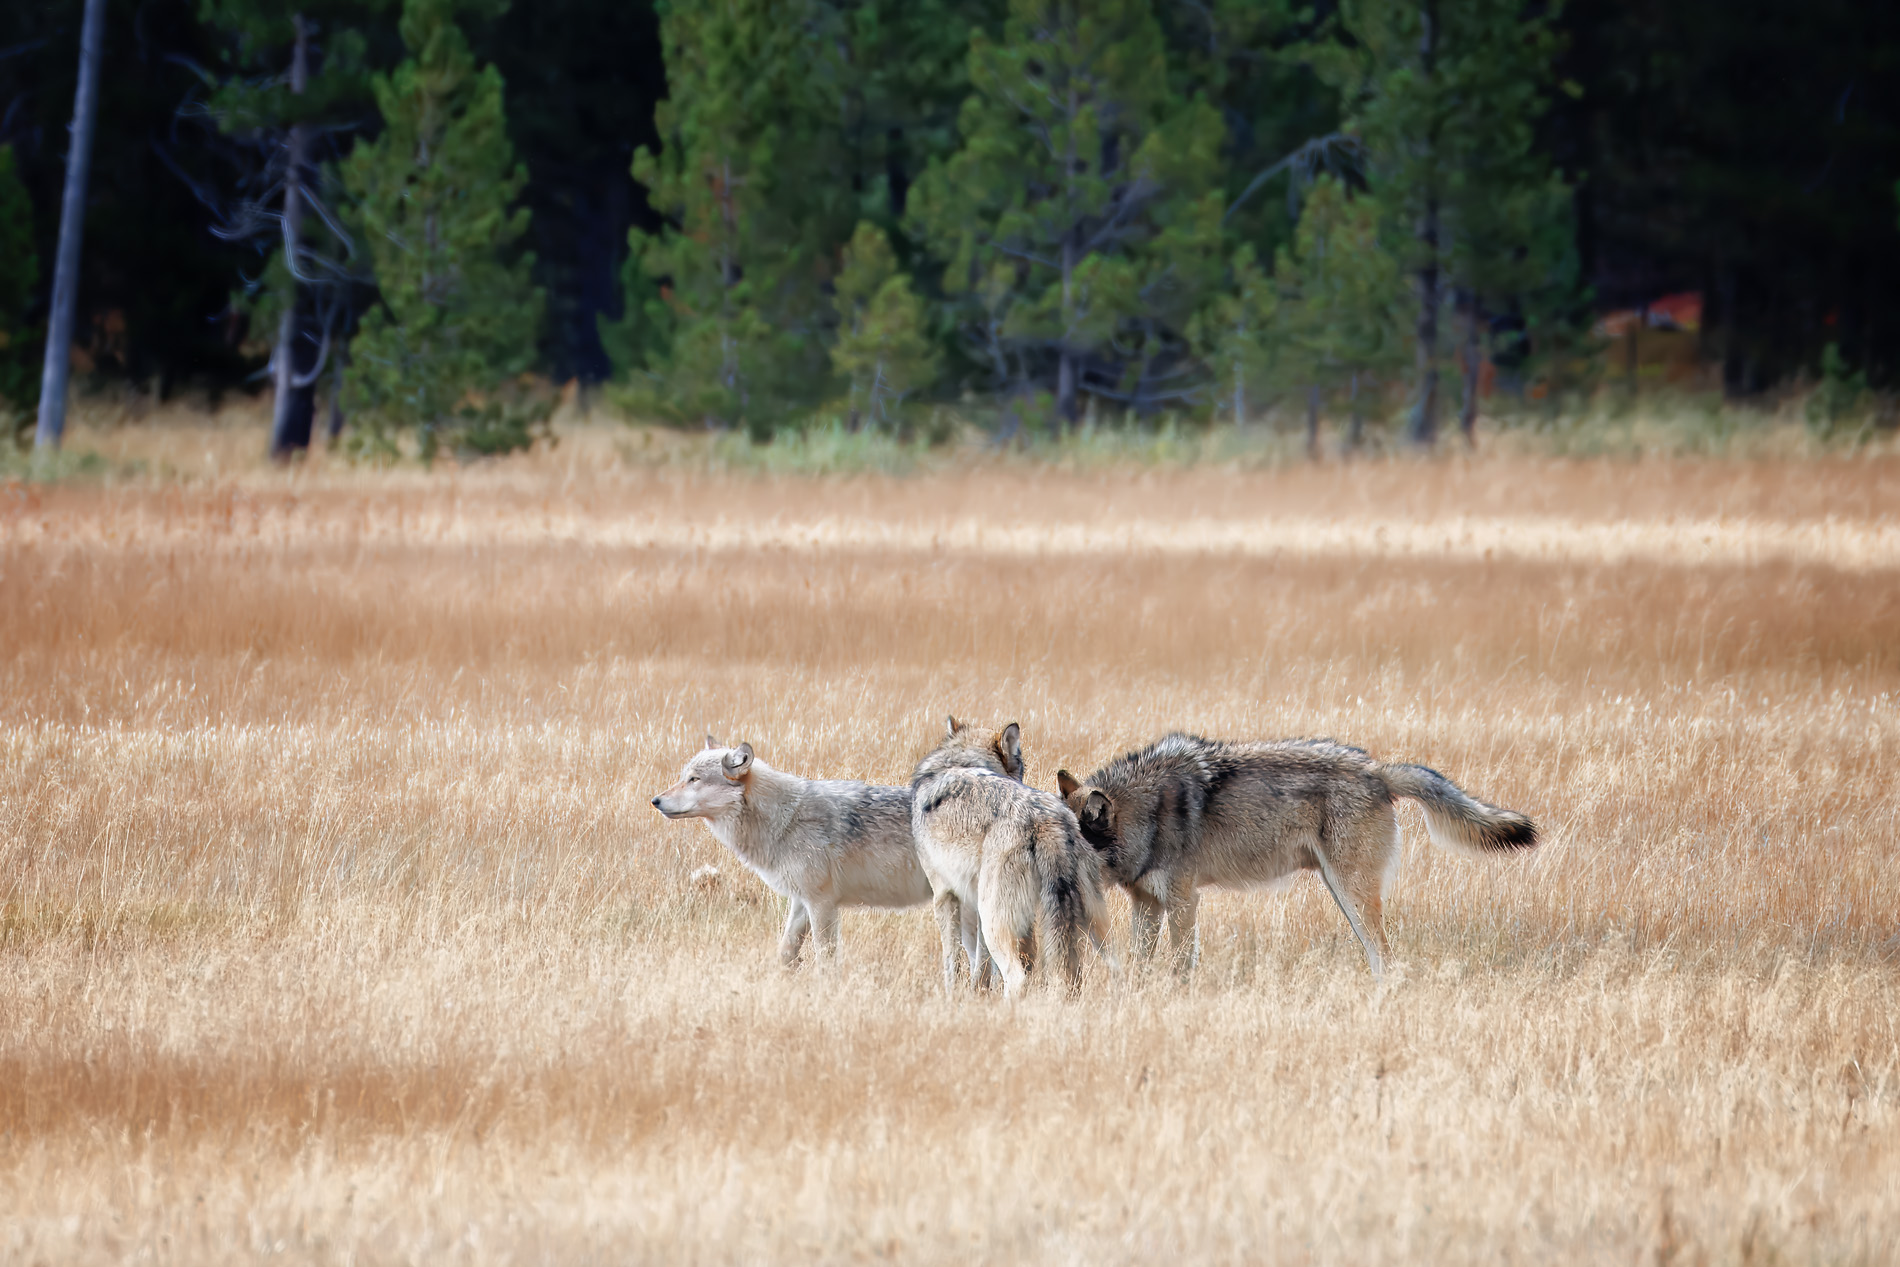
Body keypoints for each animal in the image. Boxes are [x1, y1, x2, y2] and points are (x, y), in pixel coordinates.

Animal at [652, 738, 932, 966]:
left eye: (694, 779)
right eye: (684, 777)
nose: (655, 800)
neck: (784, 820)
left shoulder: (822, 902)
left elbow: (826, 960)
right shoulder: (801, 900)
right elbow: (785, 951)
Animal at [911, 717, 1115, 997]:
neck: (961, 761)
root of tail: (1044, 819)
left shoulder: (944, 894)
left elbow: (954, 961)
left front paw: (954, 997)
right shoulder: (975, 903)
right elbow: (983, 964)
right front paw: (978, 995)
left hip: (995, 921)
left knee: (1017, 977)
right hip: (1095, 928)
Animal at [1055, 734, 1537, 979]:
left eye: (1069, 842)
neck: (1149, 813)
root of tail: (1377, 770)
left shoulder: (1183, 901)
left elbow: (1179, 966)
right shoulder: (1148, 904)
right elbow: (1140, 966)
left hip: (1352, 893)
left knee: (1386, 957)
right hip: (1342, 893)